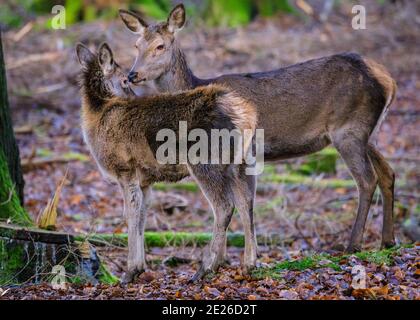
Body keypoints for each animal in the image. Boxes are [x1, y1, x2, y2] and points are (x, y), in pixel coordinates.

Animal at [76, 42, 258, 282]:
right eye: (124, 80)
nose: (133, 96)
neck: (97, 118)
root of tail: (245, 115)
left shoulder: (125, 169)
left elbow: (130, 215)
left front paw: (130, 271)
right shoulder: (145, 180)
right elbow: (142, 216)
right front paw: (139, 267)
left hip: (206, 161)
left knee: (224, 206)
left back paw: (206, 268)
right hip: (242, 162)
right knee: (246, 202)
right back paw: (249, 264)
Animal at [119, 4, 398, 255]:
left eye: (160, 46)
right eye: (136, 46)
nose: (132, 75)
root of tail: (389, 80)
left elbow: (238, 203)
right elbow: (242, 204)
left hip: (348, 129)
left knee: (367, 179)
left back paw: (353, 245)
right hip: (369, 133)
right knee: (388, 173)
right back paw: (388, 241)